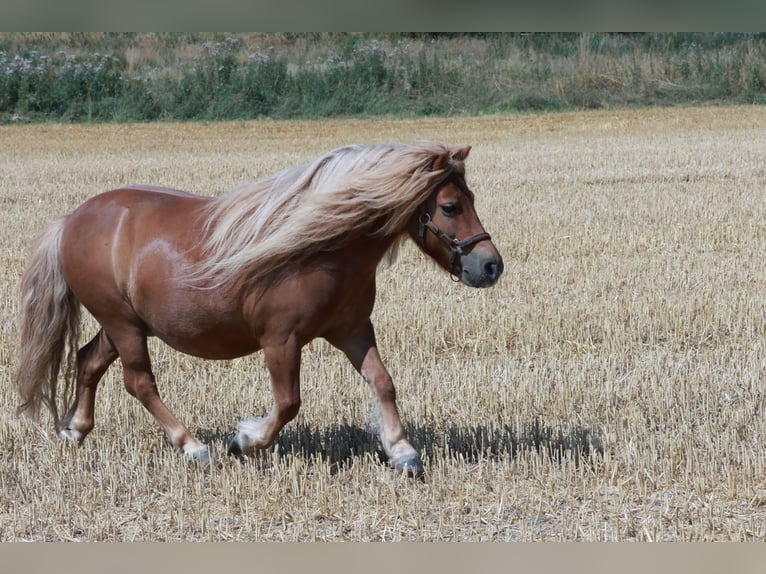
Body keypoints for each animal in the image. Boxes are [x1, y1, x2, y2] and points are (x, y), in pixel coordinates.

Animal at [14, 142, 503, 476]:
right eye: (450, 206)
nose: (491, 265)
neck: (324, 249)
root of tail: (70, 221)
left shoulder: (352, 330)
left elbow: (382, 382)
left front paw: (403, 452)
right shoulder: (280, 340)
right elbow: (288, 403)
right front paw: (244, 440)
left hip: (127, 324)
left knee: (89, 361)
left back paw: (74, 429)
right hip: (122, 323)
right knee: (139, 382)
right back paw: (193, 446)